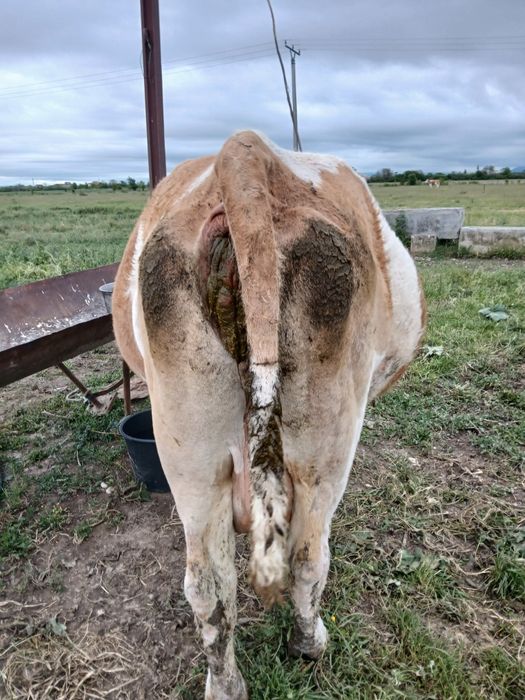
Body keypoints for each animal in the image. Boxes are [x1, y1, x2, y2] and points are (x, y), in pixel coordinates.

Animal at [112, 131, 425, 699]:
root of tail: (245, 153)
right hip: (325, 452)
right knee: (307, 557)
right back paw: (309, 643)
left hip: (191, 458)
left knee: (207, 585)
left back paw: (225, 684)